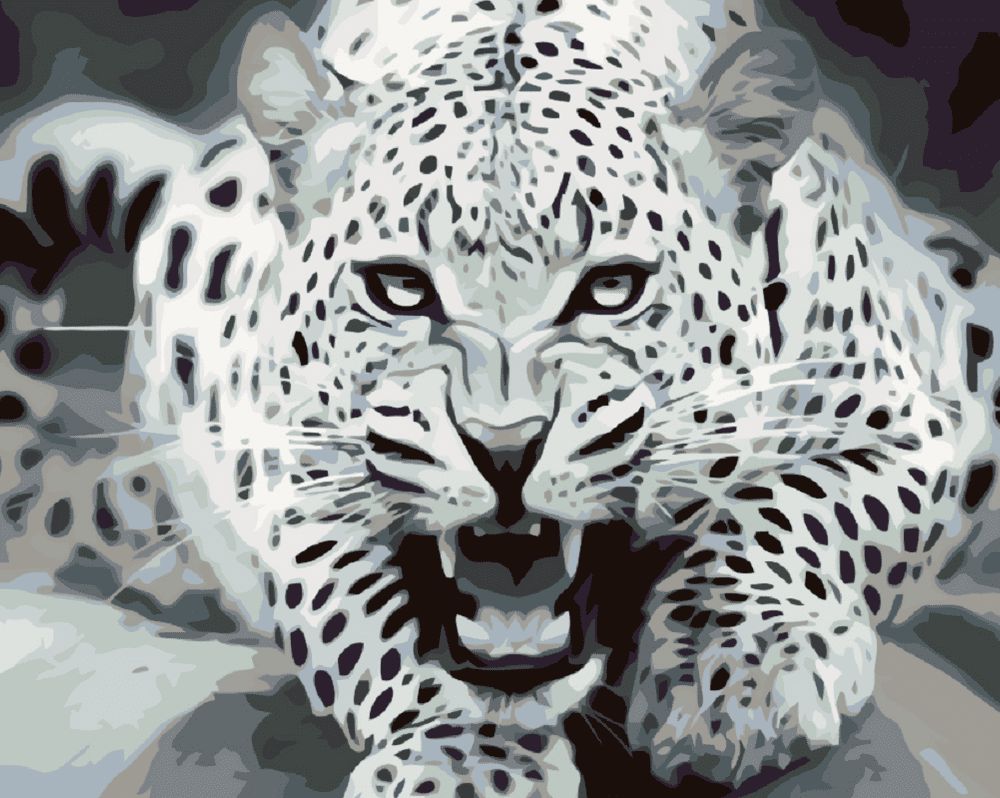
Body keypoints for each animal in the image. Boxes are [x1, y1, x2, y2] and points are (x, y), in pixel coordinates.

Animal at [1, 0, 997, 795]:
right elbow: (367, 619)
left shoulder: (921, 418)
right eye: (400, 288)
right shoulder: (295, 483)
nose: (506, 448)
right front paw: (467, 762)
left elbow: (792, 509)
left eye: (612, 288)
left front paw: (731, 677)